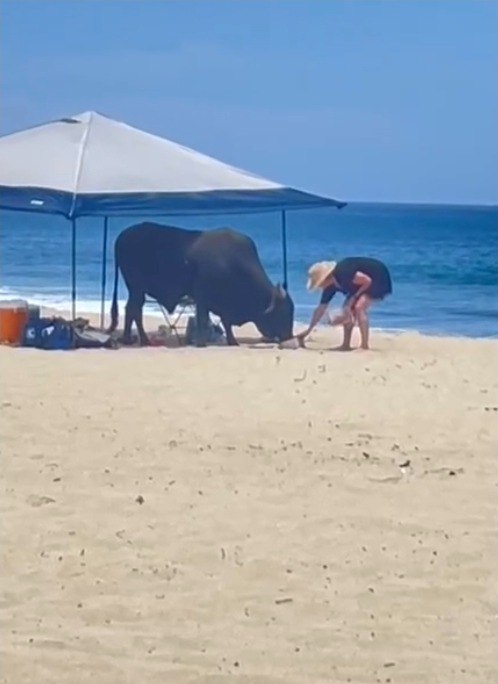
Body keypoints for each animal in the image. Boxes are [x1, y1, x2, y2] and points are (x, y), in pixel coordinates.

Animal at [108, 222, 296, 344]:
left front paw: (232, 340)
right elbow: (204, 319)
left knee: (133, 310)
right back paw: (140, 339)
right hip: (136, 288)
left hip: (137, 290)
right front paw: (202, 342)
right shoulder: (202, 297)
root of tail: (121, 237)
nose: (288, 336)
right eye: (283, 312)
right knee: (133, 310)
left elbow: (225, 322)